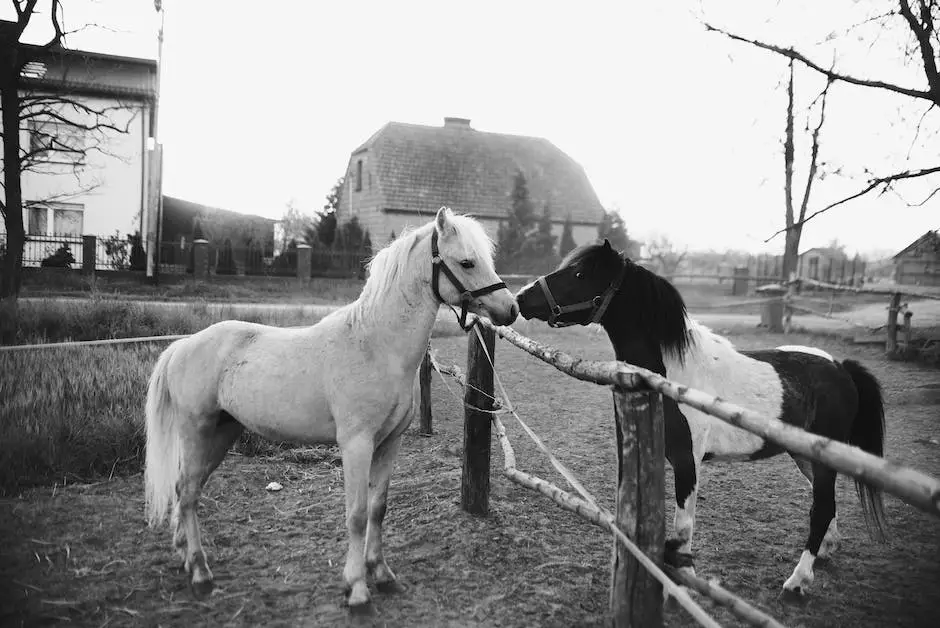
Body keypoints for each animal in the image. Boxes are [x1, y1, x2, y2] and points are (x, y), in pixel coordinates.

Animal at [143, 209, 516, 612]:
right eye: (466, 262)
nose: (511, 309)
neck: (376, 346)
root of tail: (182, 346)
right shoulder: (356, 445)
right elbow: (356, 515)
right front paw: (357, 590)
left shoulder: (390, 444)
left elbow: (378, 509)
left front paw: (382, 574)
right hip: (196, 432)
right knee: (188, 493)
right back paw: (200, 574)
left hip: (221, 434)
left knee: (186, 489)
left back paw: (185, 557)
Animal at [516, 239, 888, 592]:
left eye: (580, 274)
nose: (521, 297)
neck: (672, 374)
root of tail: (841, 367)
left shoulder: (687, 461)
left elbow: (683, 526)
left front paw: (683, 581)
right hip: (806, 456)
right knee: (826, 505)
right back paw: (824, 553)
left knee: (821, 509)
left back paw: (797, 581)